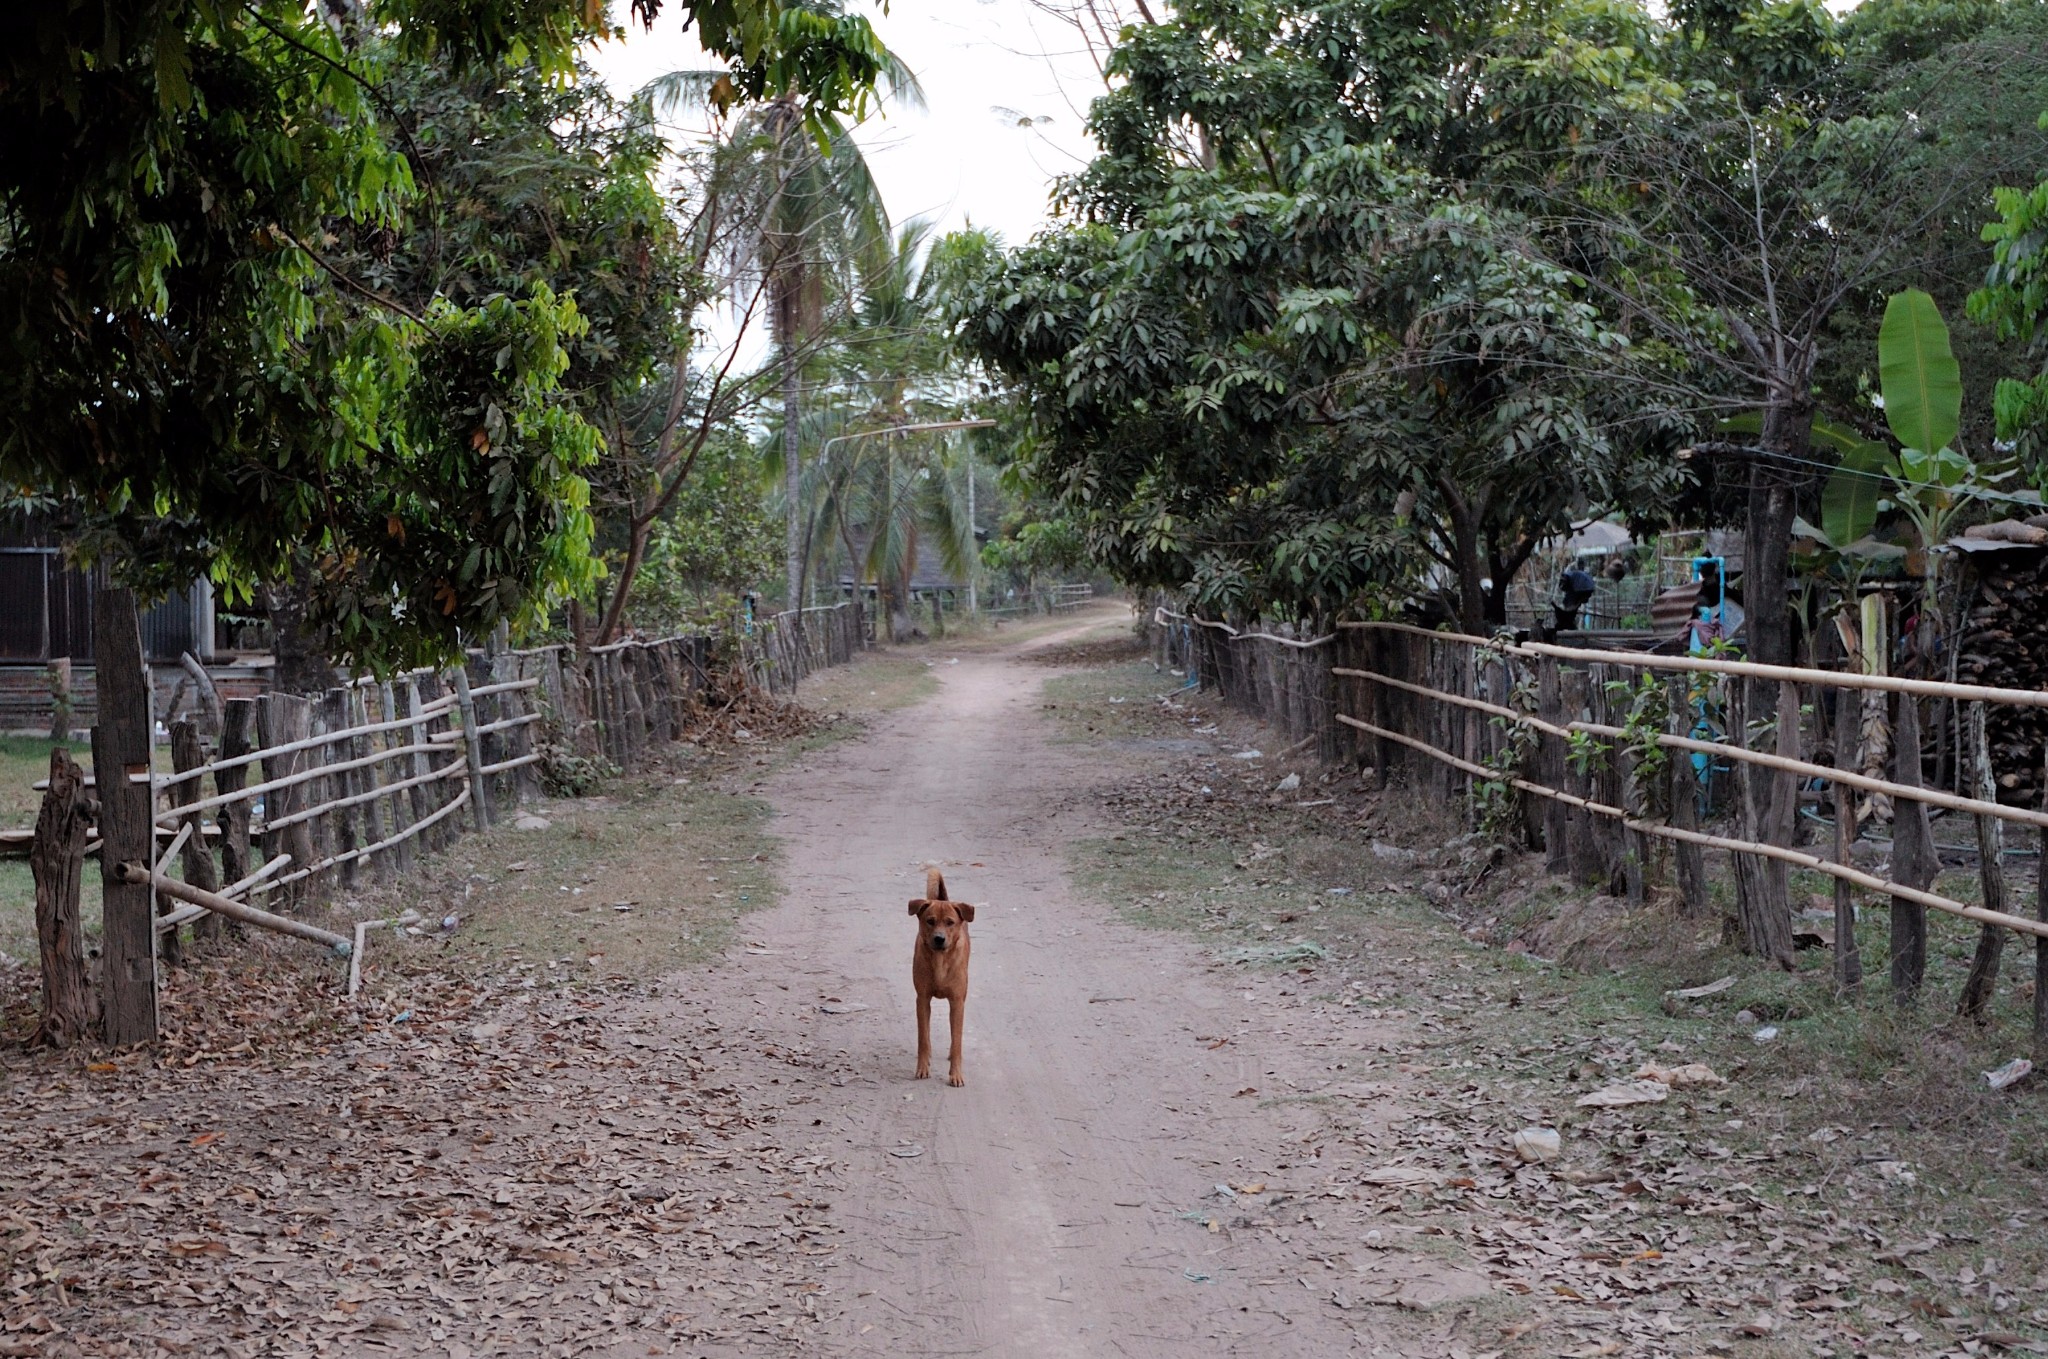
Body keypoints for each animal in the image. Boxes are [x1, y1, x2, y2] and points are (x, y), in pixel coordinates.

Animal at [913, 871, 974, 1080]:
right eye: (930, 921)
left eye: (950, 922)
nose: (939, 938)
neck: (940, 960)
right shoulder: (922, 998)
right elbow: (923, 1038)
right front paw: (922, 1067)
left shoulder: (957, 1002)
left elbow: (957, 1042)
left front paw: (956, 1074)